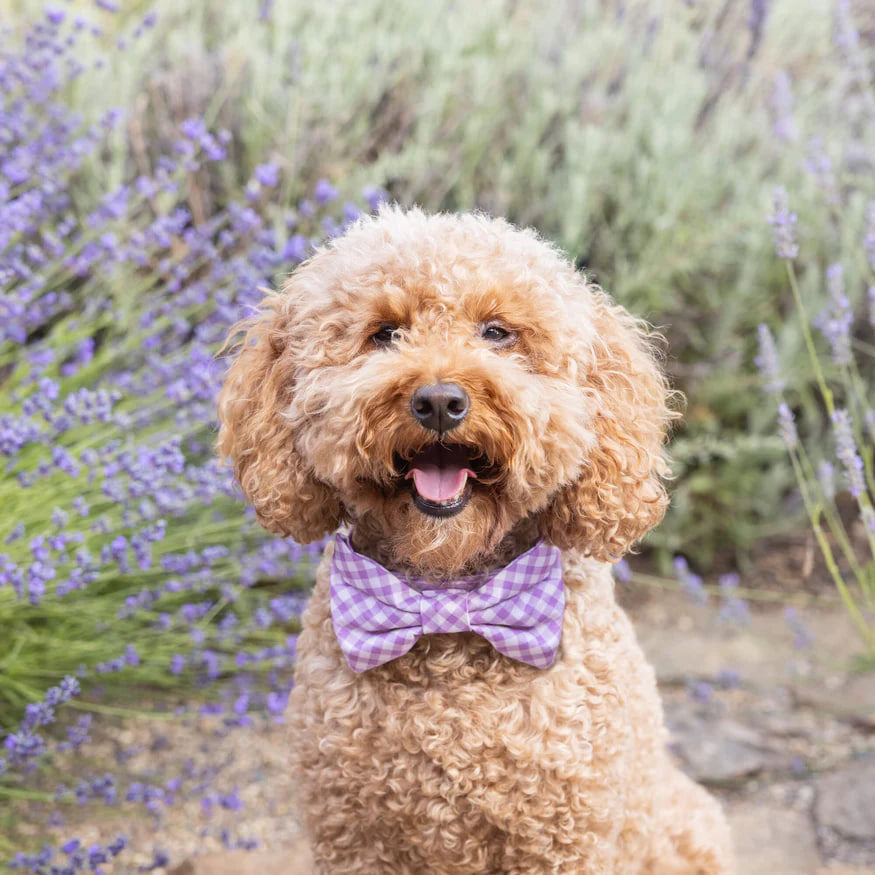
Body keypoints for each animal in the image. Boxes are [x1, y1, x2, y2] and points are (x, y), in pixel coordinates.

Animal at [217, 207, 732, 875]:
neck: (448, 598)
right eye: (385, 333)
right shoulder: (353, 835)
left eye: (497, 332)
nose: (439, 400)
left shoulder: (565, 838)